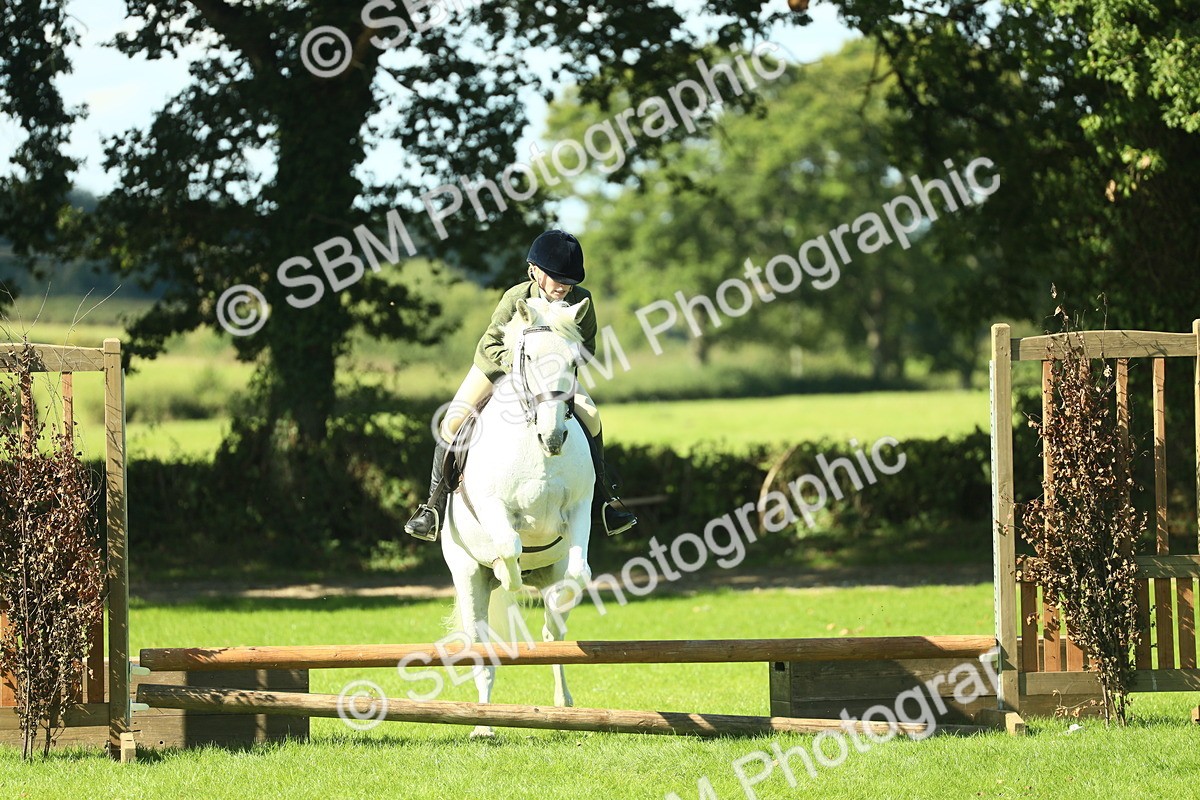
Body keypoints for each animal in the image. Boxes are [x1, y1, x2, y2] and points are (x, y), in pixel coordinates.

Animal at [440, 296, 595, 737]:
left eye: (574, 362)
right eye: (528, 357)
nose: (553, 437)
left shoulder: (580, 507)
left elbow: (578, 572)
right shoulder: (493, 506)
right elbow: (508, 544)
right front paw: (507, 572)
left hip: (548, 573)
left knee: (554, 631)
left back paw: (563, 705)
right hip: (466, 575)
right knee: (481, 644)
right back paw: (483, 724)